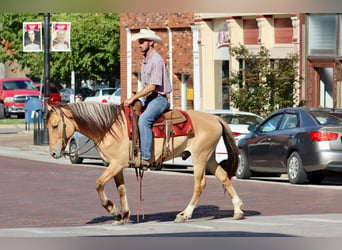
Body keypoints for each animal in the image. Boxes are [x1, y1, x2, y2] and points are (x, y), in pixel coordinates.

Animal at [46, 102, 243, 224]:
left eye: (55, 126)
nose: (54, 153)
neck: (109, 127)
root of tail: (215, 118)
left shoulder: (116, 164)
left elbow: (99, 183)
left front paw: (112, 209)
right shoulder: (116, 166)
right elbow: (121, 189)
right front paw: (123, 214)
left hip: (200, 157)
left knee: (199, 185)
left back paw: (185, 214)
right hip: (209, 157)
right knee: (224, 177)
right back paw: (238, 210)